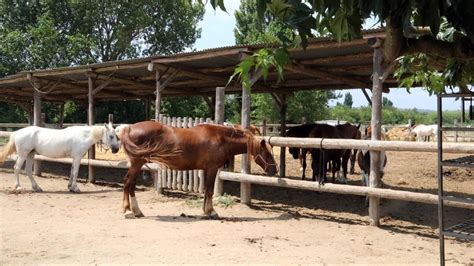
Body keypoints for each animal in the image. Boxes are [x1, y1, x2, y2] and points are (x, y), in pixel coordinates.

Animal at [117, 121, 278, 219]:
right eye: (268, 153)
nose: (274, 170)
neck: (220, 138)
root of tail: (128, 128)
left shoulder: (207, 169)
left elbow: (207, 190)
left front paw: (206, 210)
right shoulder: (212, 168)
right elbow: (210, 190)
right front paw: (211, 211)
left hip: (137, 163)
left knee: (130, 184)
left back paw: (136, 211)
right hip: (137, 163)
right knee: (128, 182)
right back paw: (128, 211)